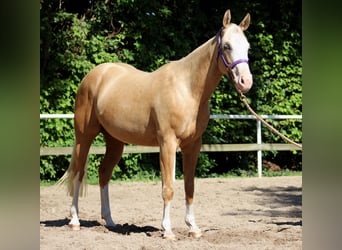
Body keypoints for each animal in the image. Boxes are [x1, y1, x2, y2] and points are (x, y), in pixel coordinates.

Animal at [58, 9, 251, 240]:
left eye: (247, 47)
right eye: (227, 46)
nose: (246, 82)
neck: (187, 88)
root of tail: (94, 75)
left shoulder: (193, 145)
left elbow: (189, 186)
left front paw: (193, 227)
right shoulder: (167, 143)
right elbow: (168, 187)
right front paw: (167, 230)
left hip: (114, 141)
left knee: (104, 173)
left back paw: (110, 221)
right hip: (84, 136)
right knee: (78, 172)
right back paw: (75, 220)